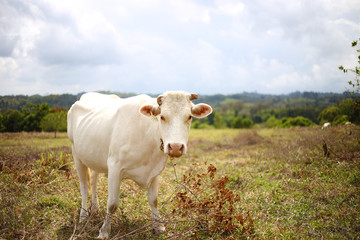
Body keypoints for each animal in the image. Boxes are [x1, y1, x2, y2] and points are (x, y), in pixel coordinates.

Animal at [67, 91, 211, 238]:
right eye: (162, 117)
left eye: (189, 117)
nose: (176, 147)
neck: (148, 132)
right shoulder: (114, 167)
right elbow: (112, 204)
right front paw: (104, 232)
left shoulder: (155, 171)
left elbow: (154, 200)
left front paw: (158, 227)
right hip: (76, 155)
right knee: (85, 187)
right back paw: (83, 216)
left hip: (94, 157)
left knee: (94, 180)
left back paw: (95, 208)